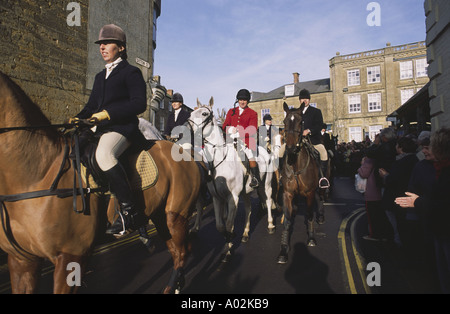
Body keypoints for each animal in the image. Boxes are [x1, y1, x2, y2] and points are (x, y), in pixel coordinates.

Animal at [0, 72, 200, 294]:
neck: (38, 174)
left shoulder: (71, 256)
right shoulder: (22, 260)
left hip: (175, 215)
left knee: (182, 252)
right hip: (160, 215)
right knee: (177, 251)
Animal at [188, 98, 276, 262]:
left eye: (204, 114)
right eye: (191, 113)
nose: (184, 131)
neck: (218, 161)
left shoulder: (232, 197)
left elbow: (228, 224)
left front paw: (227, 250)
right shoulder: (217, 198)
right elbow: (220, 225)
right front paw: (230, 238)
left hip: (265, 185)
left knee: (267, 201)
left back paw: (270, 225)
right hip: (246, 192)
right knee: (248, 208)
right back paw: (246, 233)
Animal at [276, 103, 328, 264]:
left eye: (301, 122)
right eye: (285, 122)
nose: (291, 148)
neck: (295, 163)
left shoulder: (309, 193)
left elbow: (309, 214)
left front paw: (311, 238)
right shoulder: (288, 193)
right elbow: (286, 220)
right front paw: (283, 250)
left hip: (320, 186)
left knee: (320, 198)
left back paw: (321, 217)